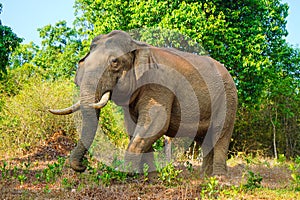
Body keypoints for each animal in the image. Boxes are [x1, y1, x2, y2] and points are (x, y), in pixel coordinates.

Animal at [48, 30, 237, 177]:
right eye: (82, 63)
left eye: (114, 62)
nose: (82, 166)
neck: (139, 45)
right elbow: (133, 126)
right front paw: (149, 176)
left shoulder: (159, 86)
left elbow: (155, 123)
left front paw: (127, 173)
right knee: (205, 139)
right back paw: (204, 176)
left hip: (228, 99)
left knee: (220, 133)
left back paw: (218, 178)